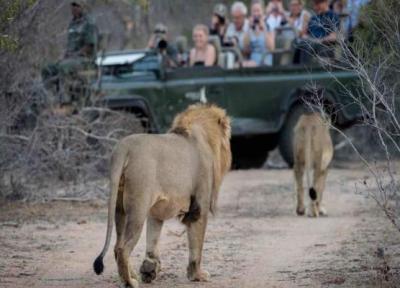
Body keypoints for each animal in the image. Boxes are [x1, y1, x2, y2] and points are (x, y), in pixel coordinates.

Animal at [94, 104, 231, 288]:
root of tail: (124, 147)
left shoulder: (156, 211)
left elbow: (153, 240)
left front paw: (149, 269)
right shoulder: (199, 207)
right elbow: (197, 245)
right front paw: (197, 275)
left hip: (119, 207)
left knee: (117, 246)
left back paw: (131, 276)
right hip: (138, 207)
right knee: (122, 249)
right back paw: (130, 282)